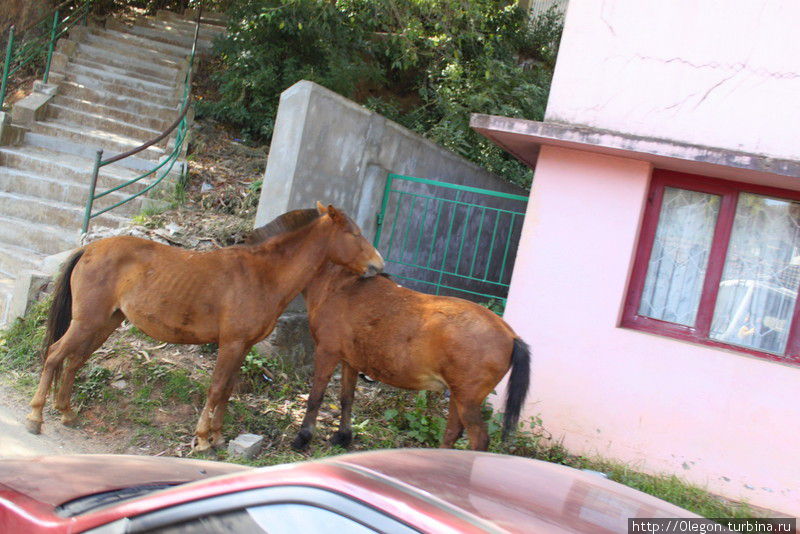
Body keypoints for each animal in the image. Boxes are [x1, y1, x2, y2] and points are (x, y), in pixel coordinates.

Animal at [26, 205, 382, 452]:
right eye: (354, 234)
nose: (379, 266)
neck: (263, 275)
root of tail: (90, 248)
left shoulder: (243, 346)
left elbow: (227, 390)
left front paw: (219, 436)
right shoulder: (231, 344)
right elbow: (215, 389)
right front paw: (202, 440)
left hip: (103, 324)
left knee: (75, 362)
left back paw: (67, 413)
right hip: (87, 322)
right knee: (55, 356)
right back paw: (36, 418)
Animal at [286, 262, 532, 454]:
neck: (340, 284)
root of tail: (511, 336)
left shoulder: (327, 352)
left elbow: (315, 397)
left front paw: (303, 438)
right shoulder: (349, 360)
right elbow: (347, 398)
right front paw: (343, 437)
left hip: (468, 400)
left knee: (478, 439)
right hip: (459, 396)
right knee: (453, 431)